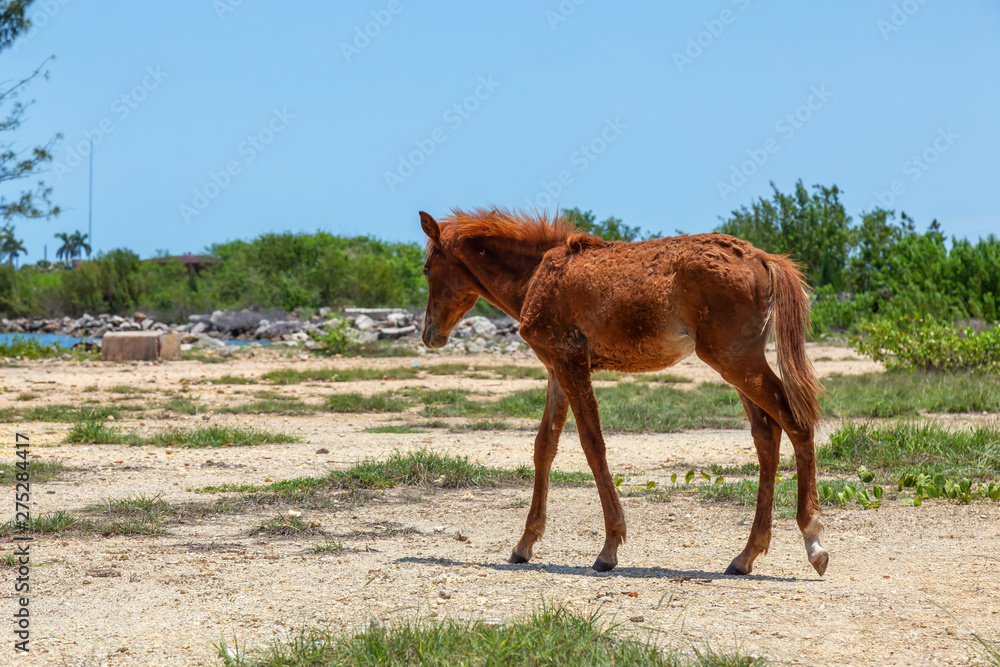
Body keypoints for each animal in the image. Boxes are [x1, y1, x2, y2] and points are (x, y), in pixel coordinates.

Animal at [418, 207, 828, 576]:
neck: (536, 273)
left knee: (796, 423)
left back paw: (813, 541)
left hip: (735, 360)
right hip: (738, 364)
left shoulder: (569, 362)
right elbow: (544, 447)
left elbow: (592, 443)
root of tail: (761, 257)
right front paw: (524, 544)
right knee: (766, 434)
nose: (428, 334)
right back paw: (746, 555)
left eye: (426, 269)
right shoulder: (555, 369)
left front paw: (609, 548)